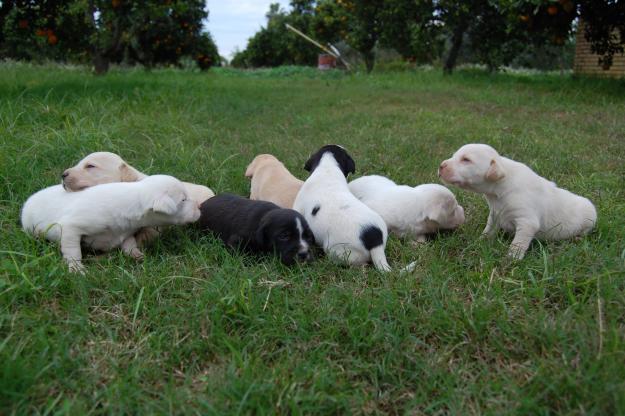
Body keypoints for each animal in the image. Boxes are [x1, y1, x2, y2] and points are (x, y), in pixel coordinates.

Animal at [21, 175, 200, 272]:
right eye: (183, 200)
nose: (199, 208)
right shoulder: (71, 227)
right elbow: (73, 251)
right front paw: (77, 270)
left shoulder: (126, 233)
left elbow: (129, 245)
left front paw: (137, 255)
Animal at [436, 145, 596, 258]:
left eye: (466, 160)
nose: (441, 165)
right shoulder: (495, 214)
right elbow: (489, 229)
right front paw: (481, 240)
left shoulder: (527, 222)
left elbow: (518, 243)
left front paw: (511, 259)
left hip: (589, 220)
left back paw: (578, 238)